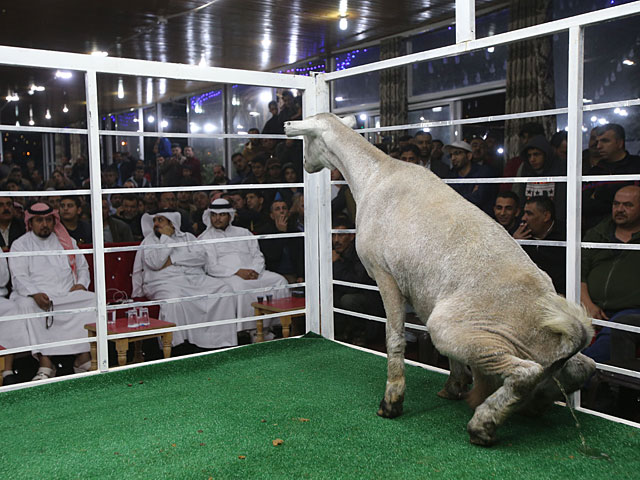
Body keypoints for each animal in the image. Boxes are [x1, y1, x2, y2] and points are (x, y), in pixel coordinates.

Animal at [284, 112, 596, 446]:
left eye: (307, 139)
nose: (305, 164)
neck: (374, 174)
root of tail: (561, 335)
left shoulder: (386, 274)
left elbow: (394, 337)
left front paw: (392, 401)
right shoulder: (422, 290)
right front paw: (454, 386)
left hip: (457, 328)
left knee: (526, 373)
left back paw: (483, 424)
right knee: (582, 369)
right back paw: (531, 406)